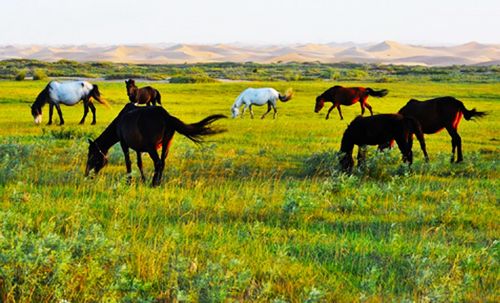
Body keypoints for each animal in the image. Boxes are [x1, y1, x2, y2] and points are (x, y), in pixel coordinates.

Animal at [86, 103, 227, 186]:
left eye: (92, 155)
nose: (87, 174)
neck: (119, 122)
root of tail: (166, 116)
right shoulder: (138, 148)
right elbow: (139, 163)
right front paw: (143, 180)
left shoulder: (124, 144)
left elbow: (128, 162)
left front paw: (129, 181)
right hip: (166, 144)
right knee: (162, 162)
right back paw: (158, 182)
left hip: (151, 147)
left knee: (158, 162)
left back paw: (154, 183)